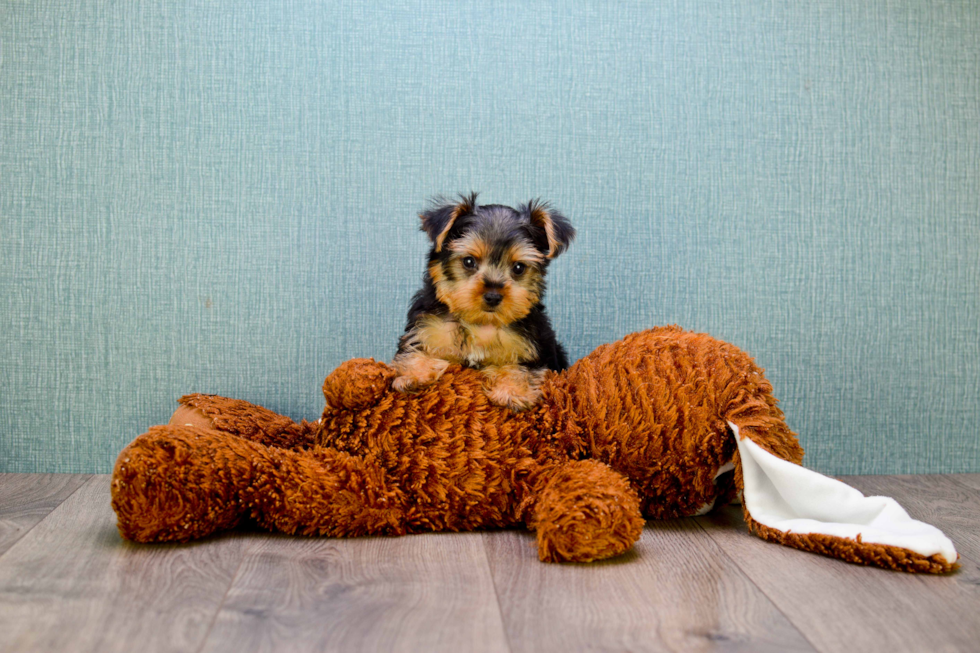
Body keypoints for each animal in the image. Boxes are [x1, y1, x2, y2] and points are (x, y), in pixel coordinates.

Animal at [390, 191, 576, 410]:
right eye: (469, 261)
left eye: (519, 268)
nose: (493, 296)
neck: (480, 322)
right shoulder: (426, 329)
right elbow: (413, 351)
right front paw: (413, 376)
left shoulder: (535, 347)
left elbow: (521, 369)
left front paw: (512, 392)